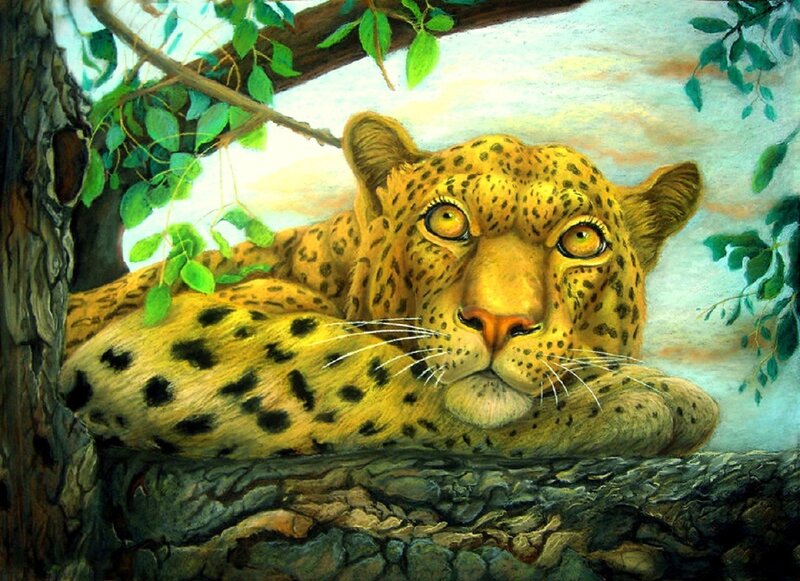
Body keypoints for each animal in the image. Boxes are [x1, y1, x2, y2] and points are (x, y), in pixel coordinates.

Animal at [59, 112, 719, 460]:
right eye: (446, 221)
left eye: (581, 241)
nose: (498, 323)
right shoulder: (164, 333)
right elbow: (371, 374)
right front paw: (642, 396)